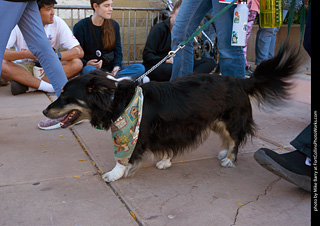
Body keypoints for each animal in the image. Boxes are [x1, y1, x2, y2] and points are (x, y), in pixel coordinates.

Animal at [43, 44, 302, 182]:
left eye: (66, 95)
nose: (45, 109)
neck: (118, 100)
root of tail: (240, 81)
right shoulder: (167, 129)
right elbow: (166, 146)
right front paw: (166, 161)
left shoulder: (135, 133)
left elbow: (124, 156)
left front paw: (114, 174)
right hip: (217, 120)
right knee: (226, 136)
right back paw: (222, 152)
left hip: (231, 120)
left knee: (235, 138)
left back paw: (230, 158)